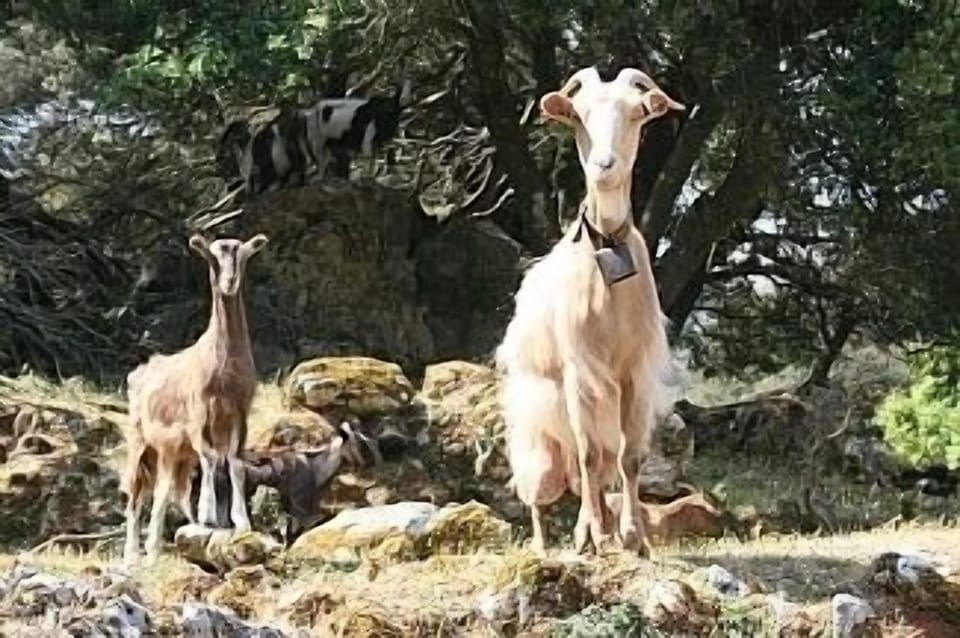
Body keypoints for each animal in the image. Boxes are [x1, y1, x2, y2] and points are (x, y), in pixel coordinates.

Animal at [121, 232, 269, 564]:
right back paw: (135, 553)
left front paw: (239, 521)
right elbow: (212, 457)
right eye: (212, 258)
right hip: (142, 444)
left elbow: (235, 462)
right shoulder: (199, 413)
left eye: (241, 254)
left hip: (175, 453)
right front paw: (210, 515)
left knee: (168, 490)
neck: (224, 366)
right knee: (137, 495)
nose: (229, 282)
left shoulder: (239, 411)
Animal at [495, 66, 685, 557]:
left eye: (637, 113)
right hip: (540, 438)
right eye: (579, 115)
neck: (608, 247)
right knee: (544, 489)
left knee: (592, 477)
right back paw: (549, 546)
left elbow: (628, 458)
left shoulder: (633, 372)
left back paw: (586, 531)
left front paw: (633, 537)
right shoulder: (579, 370)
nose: (604, 166)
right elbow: (589, 455)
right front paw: (601, 535)